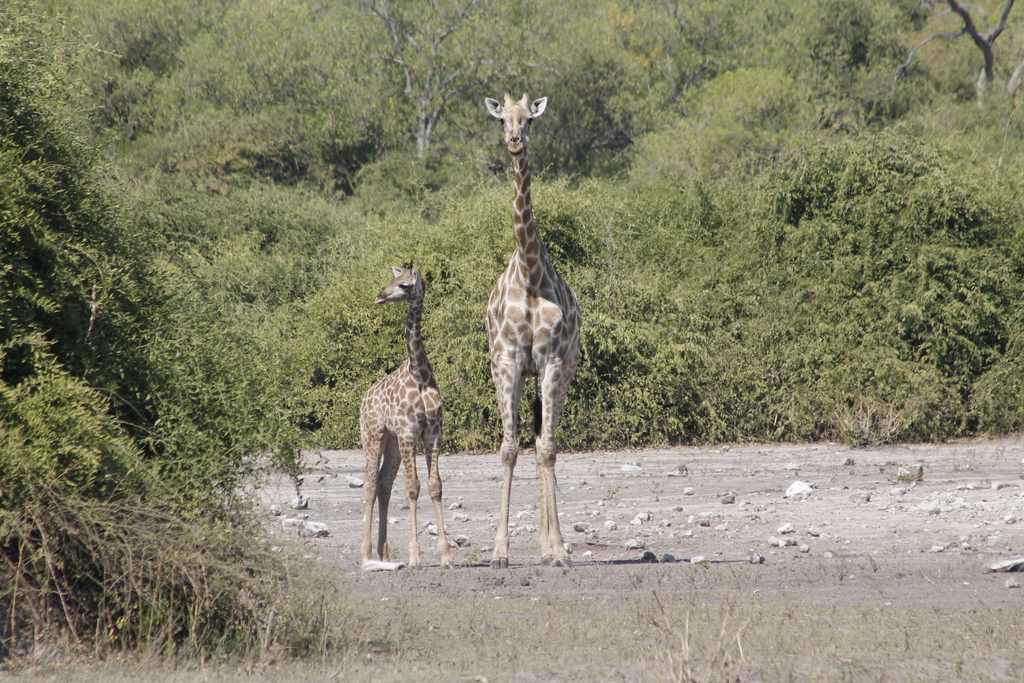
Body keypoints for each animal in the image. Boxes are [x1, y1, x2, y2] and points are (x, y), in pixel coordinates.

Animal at [359, 263, 453, 569]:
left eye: (404, 285)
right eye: (394, 278)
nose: (379, 296)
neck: (420, 373)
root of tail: (364, 398)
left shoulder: (433, 433)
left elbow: (434, 486)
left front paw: (446, 554)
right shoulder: (409, 431)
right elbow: (412, 487)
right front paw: (415, 555)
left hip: (392, 442)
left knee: (384, 483)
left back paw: (384, 554)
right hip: (373, 433)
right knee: (370, 482)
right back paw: (366, 554)